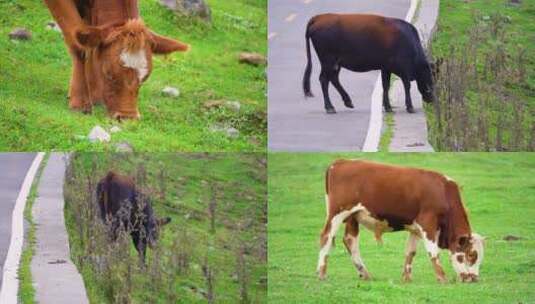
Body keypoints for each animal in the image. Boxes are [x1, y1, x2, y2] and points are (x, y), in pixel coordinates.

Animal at [44, 0, 191, 119]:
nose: (127, 117)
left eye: (145, 78)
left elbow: (92, 46)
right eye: (108, 74)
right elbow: (80, 45)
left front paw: (94, 96)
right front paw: (80, 102)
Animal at [302, 13, 436, 114]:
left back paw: (348, 101)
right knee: (324, 79)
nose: (431, 100)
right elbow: (407, 86)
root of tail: (319, 17)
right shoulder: (404, 69)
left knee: (333, 79)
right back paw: (330, 107)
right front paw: (410, 107)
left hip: (335, 63)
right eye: (430, 79)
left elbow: (386, 86)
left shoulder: (386, 67)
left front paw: (388, 107)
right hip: (328, 60)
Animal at [318, 160, 486, 284]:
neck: (443, 192)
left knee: (350, 240)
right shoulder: (427, 223)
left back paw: (364, 273)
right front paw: (442, 278)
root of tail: (340, 162)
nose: (474, 279)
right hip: (337, 213)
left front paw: (407, 277)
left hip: (353, 216)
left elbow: (410, 252)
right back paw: (321, 273)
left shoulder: (415, 228)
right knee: (326, 236)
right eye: (471, 255)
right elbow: (433, 251)